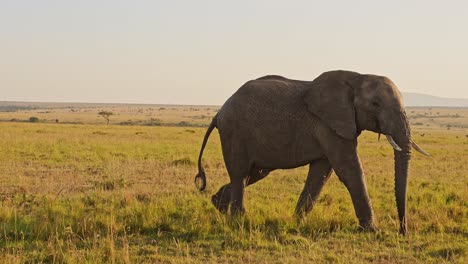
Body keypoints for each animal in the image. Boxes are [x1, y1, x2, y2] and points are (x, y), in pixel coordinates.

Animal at [193, 70, 428, 235]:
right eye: (375, 104)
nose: (402, 231)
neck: (357, 77)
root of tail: (218, 113)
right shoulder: (329, 124)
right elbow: (349, 170)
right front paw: (371, 231)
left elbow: (321, 174)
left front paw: (297, 222)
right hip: (235, 131)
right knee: (240, 173)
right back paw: (239, 220)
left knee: (253, 173)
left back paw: (218, 206)